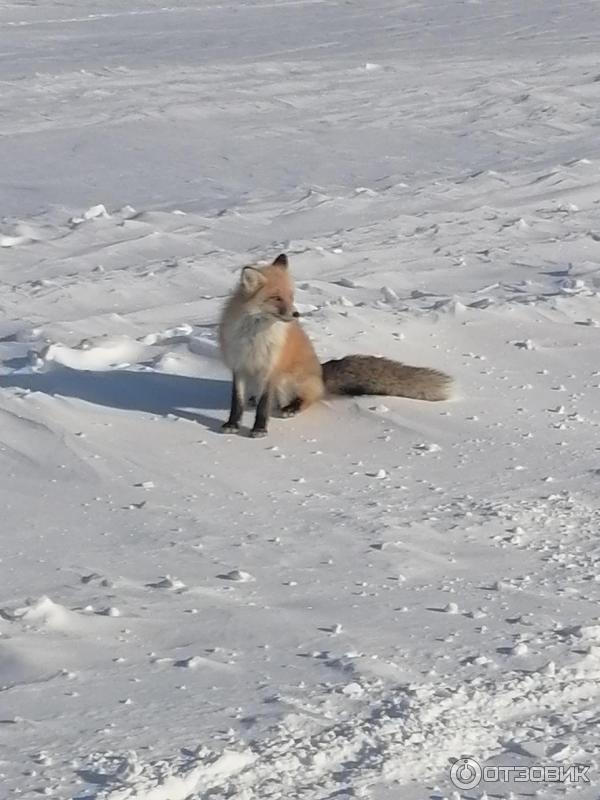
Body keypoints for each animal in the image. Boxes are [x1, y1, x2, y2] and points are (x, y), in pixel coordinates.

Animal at [218, 255, 452, 438]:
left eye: (291, 296)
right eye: (276, 298)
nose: (296, 314)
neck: (253, 335)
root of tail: (321, 375)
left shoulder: (271, 371)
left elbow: (263, 407)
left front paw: (259, 430)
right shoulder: (239, 367)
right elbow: (236, 402)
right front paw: (232, 424)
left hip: (287, 382)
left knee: (306, 400)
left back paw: (291, 408)